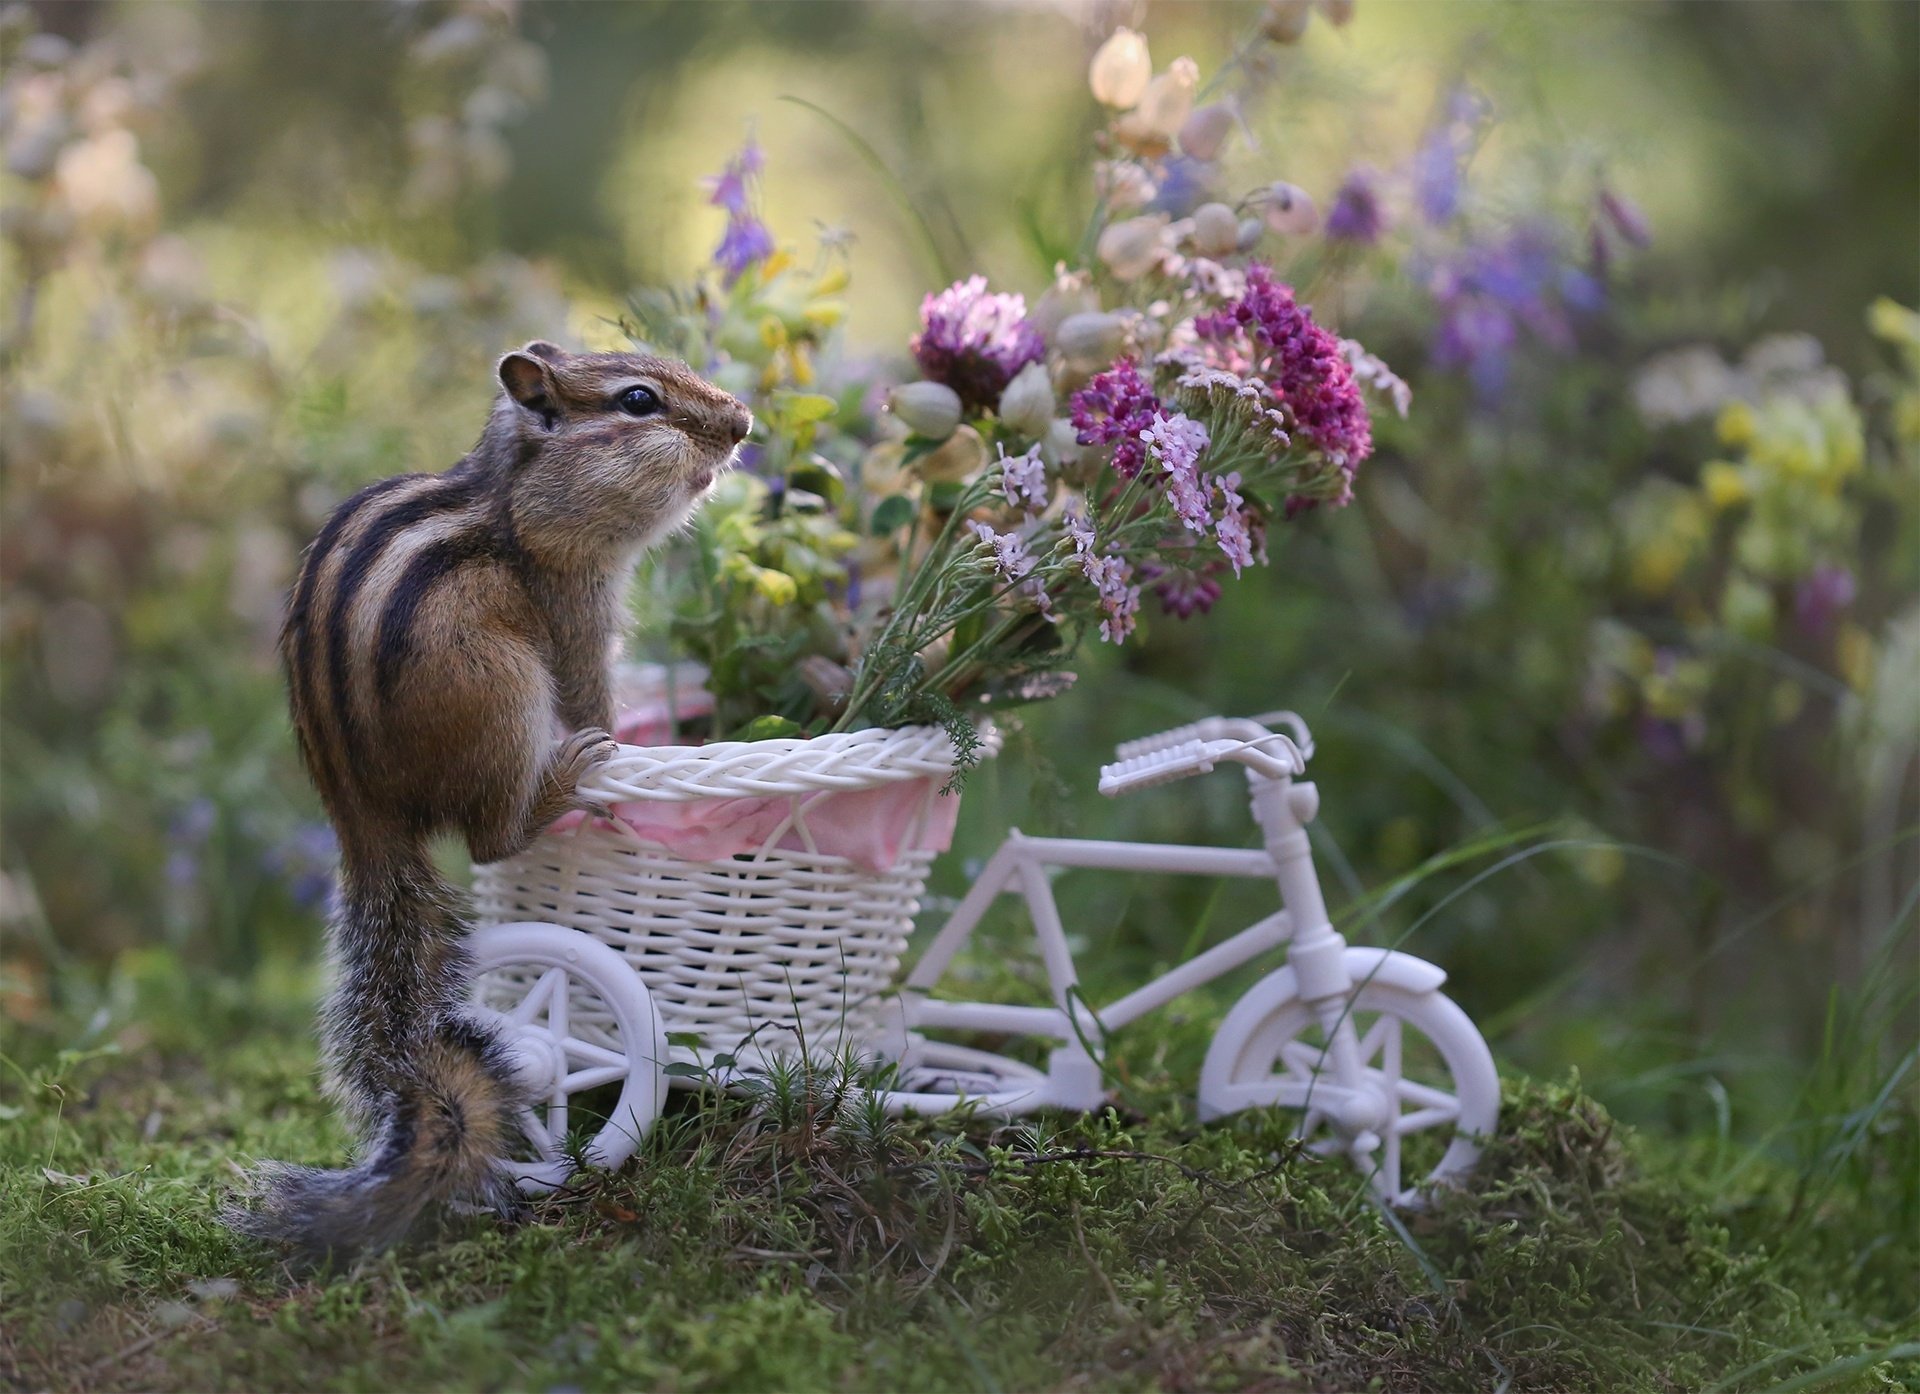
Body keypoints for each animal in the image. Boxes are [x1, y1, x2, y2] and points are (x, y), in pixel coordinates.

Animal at [230, 341, 750, 1260]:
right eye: (638, 401)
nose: (745, 422)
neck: (513, 508)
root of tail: (359, 812)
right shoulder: (575, 610)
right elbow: (593, 695)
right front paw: (629, 748)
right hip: (506, 696)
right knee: (490, 836)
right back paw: (566, 782)